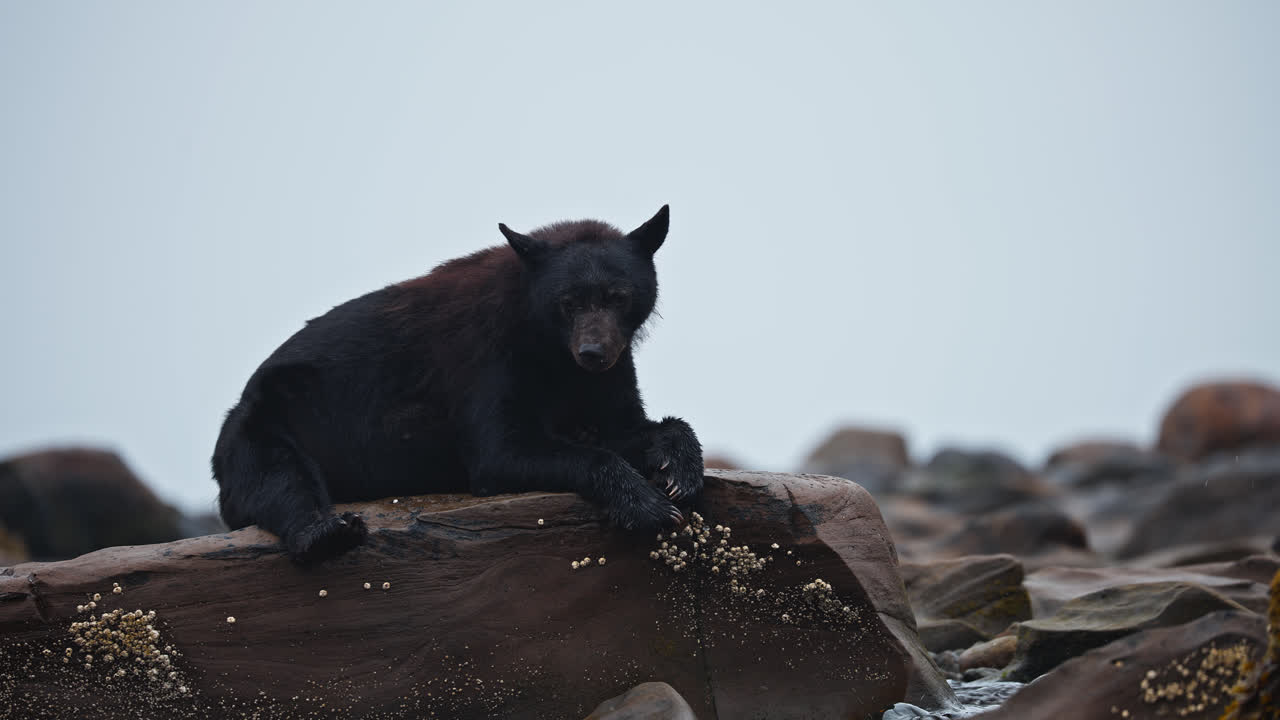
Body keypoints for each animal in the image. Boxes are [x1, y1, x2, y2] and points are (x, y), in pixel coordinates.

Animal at [211, 205, 703, 562]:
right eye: (568, 302)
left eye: (618, 297)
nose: (593, 353)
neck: (548, 349)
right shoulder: (486, 359)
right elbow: (504, 452)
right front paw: (648, 506)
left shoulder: (608, 373)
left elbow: (622, 426)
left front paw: (678, 468)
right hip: (261, 426)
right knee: (280, 478)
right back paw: (328, 532)